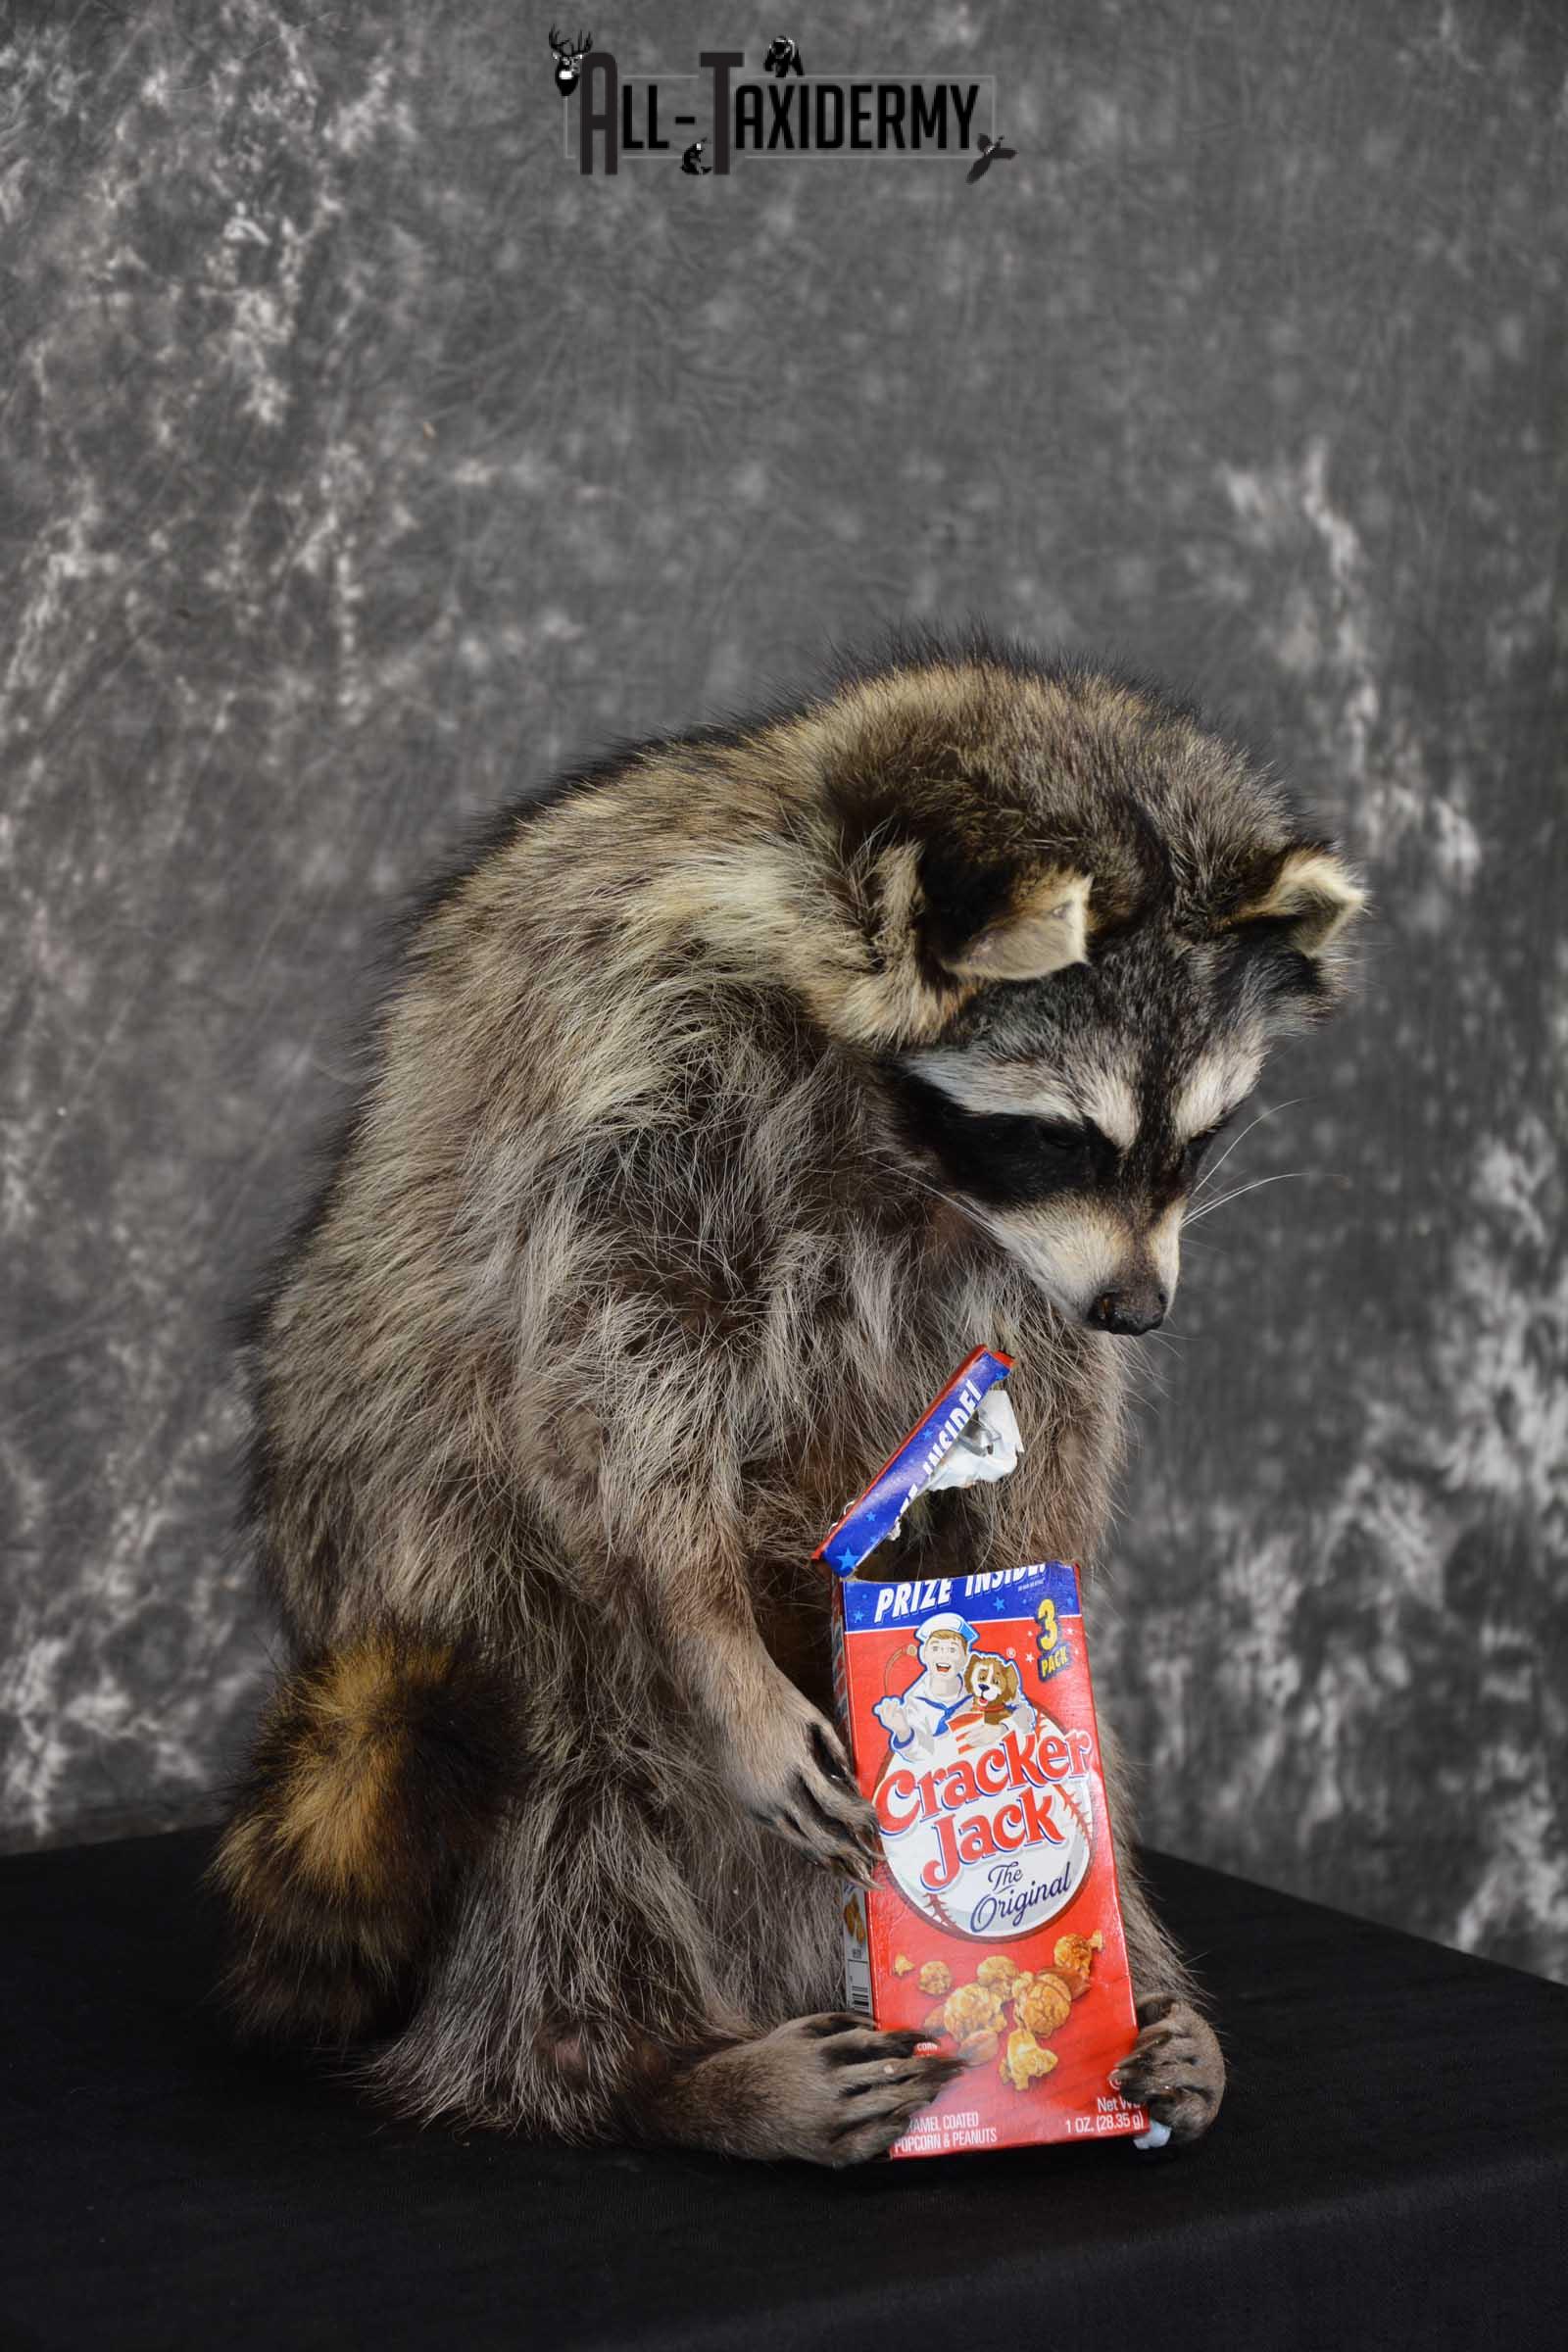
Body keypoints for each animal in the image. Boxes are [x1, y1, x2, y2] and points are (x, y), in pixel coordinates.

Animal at [215, 634, 1364, 2163]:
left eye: (1203, 1136)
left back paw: (1153, 2012)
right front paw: (700, 1606)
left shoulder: (1017, 1287)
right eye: (1056, 1136)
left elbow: (1043, 1418)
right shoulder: (637, 1070)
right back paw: (637, 2068)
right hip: (422, 1536)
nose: (1141, 1309)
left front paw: (1034, 1608)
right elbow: (614, 1354)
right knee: (562, 1769)